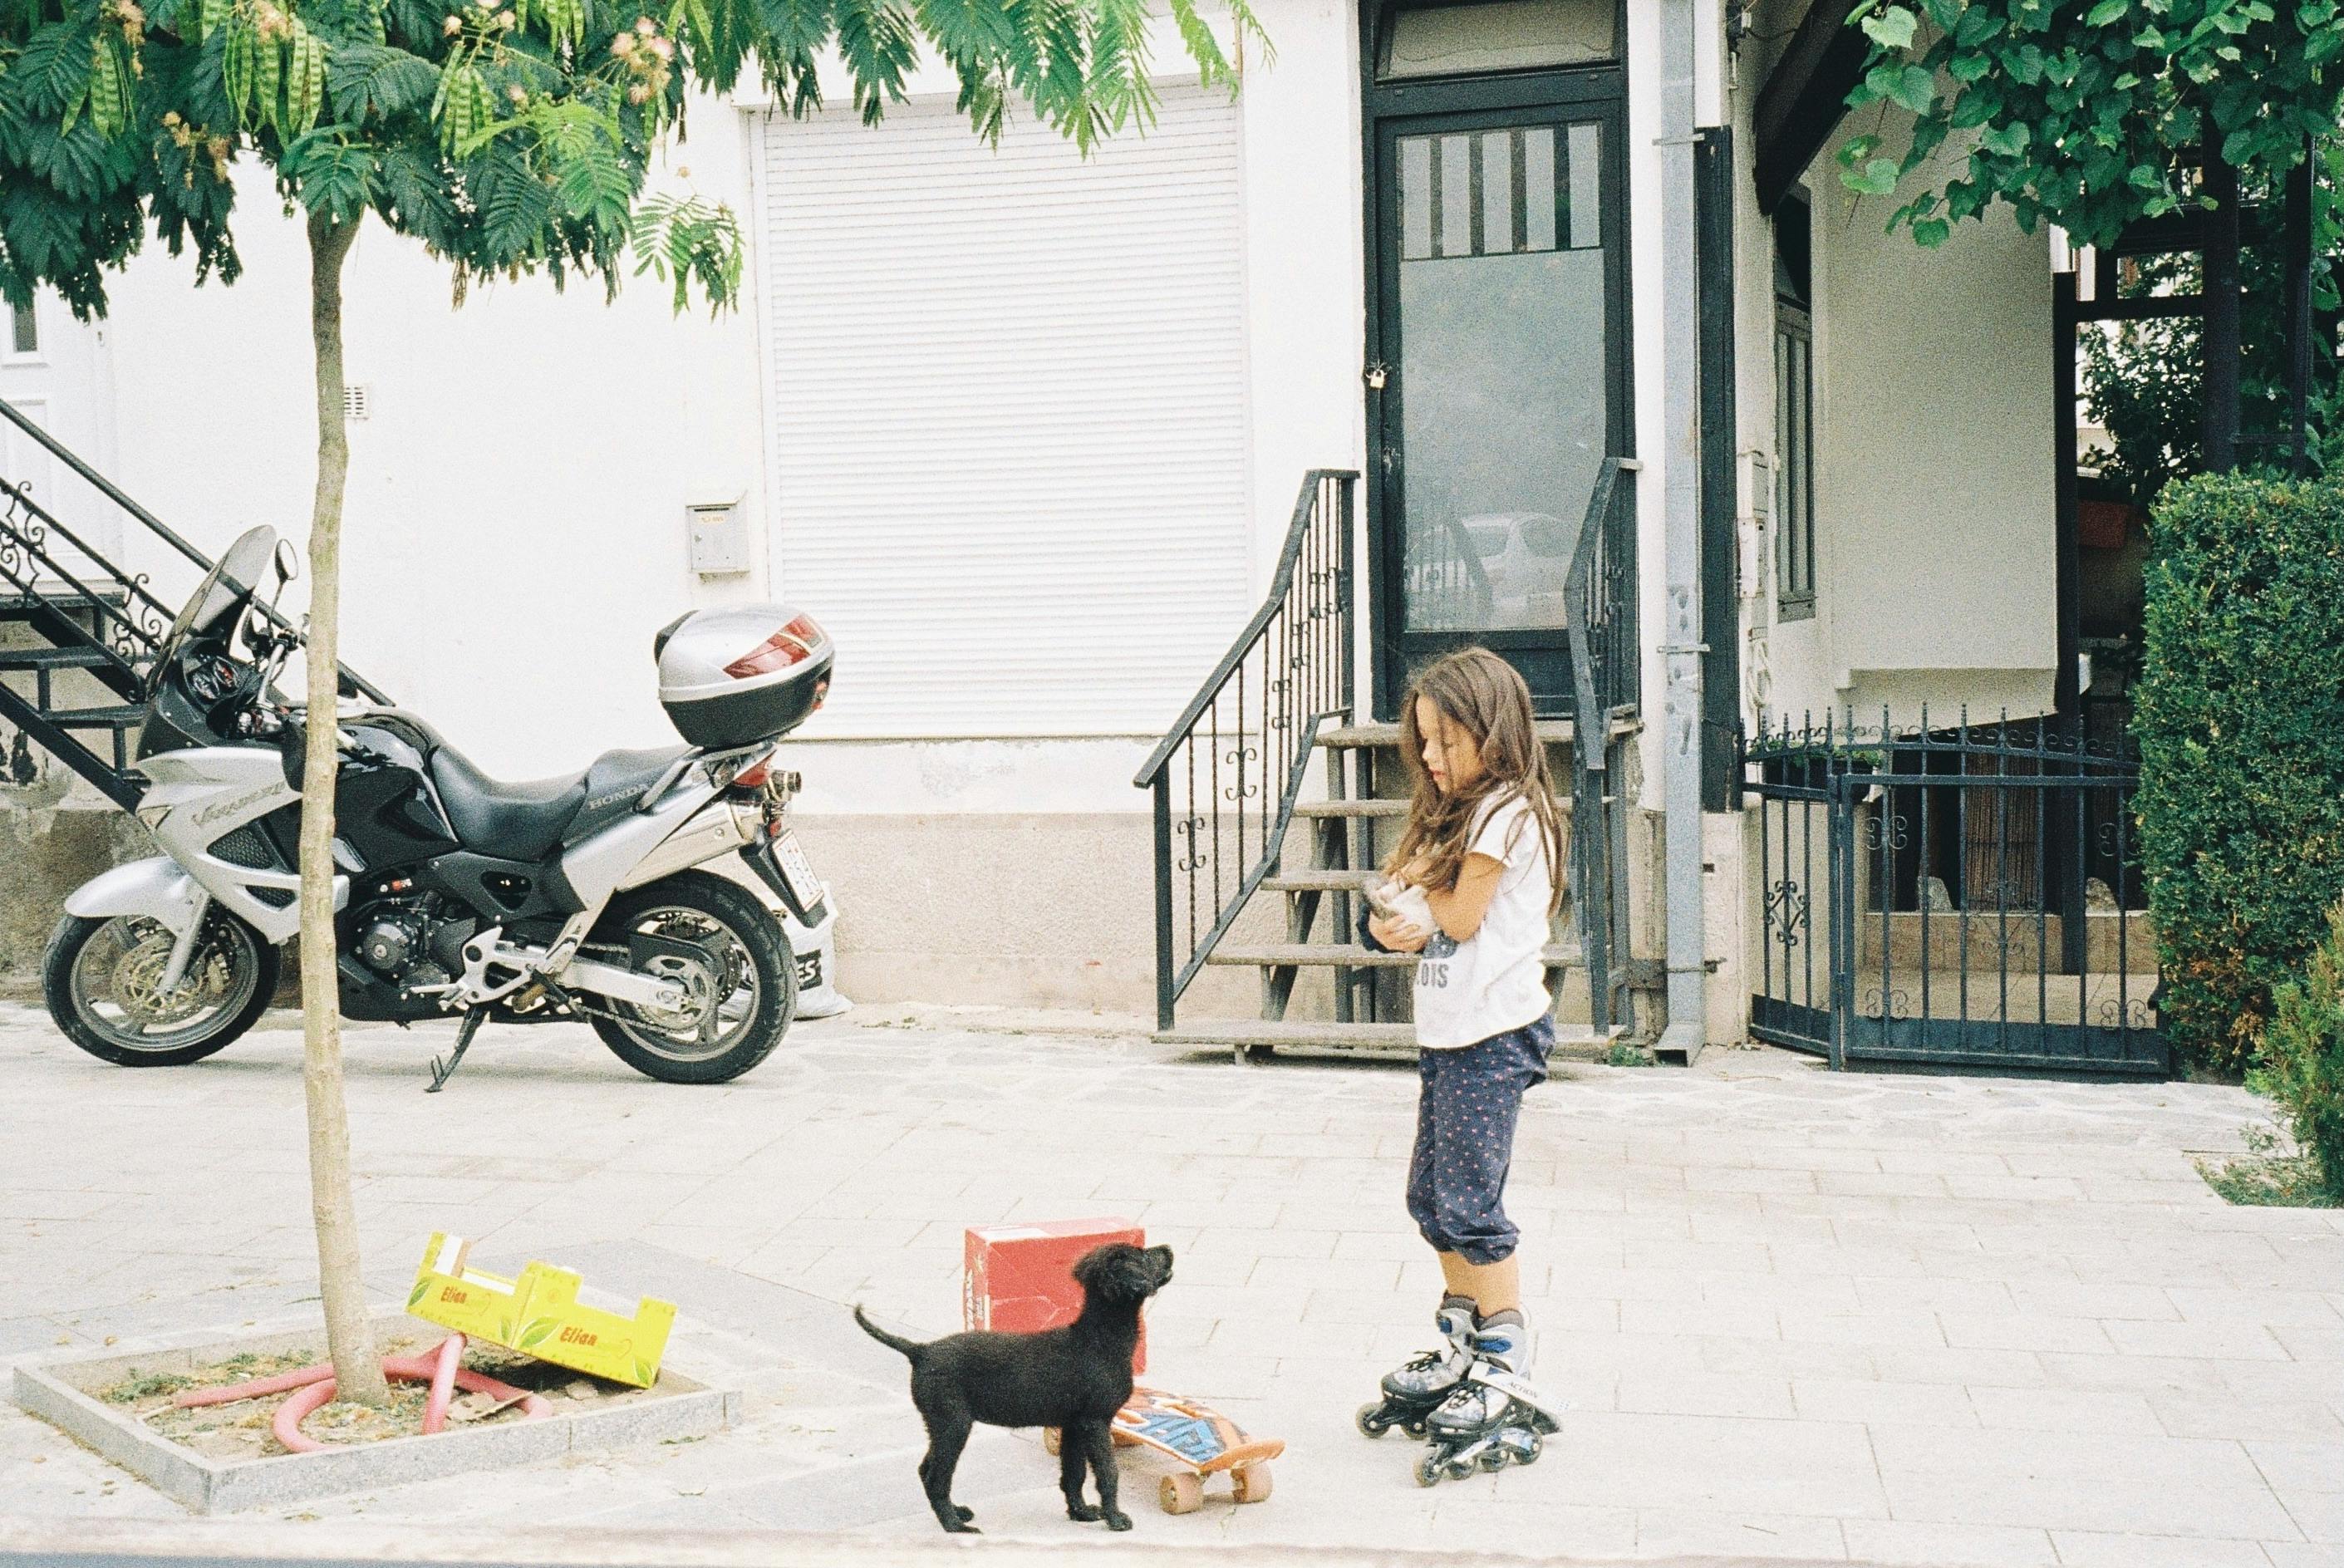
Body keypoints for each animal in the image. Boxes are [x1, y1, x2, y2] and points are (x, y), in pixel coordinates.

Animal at [853, 1237, 1172, 1528]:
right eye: (1143, 1256)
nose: (1168, 1248)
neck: (1099, 1338)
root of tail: (921, 1350)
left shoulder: (1073, 1425)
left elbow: (1074, 1474)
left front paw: (1080, 1513)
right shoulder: (1096, 1422)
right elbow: (1108, 1472)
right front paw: (1115, 1518)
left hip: (941, 1425)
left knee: (925, 1469)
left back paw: (956, 1513)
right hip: (953, 1424)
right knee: (936, 1477)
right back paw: (954, 1525)